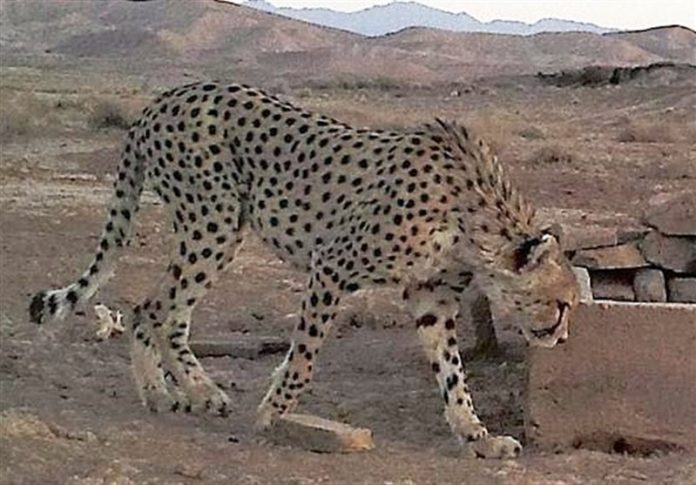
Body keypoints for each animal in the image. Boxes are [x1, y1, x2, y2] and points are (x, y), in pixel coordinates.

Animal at [29, 81, 579, 459]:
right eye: (561, 304)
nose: (564, 338)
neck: (475, 222)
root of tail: (164, 98)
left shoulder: (431, 299)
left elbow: (453, 376)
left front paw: (478, 438)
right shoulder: (332, 266)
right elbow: (306, 356)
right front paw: (273, 411)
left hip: (217, 229)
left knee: (169, 315)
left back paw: (185, 393)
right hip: (214, 221)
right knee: (151, 308)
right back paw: (176, 392)